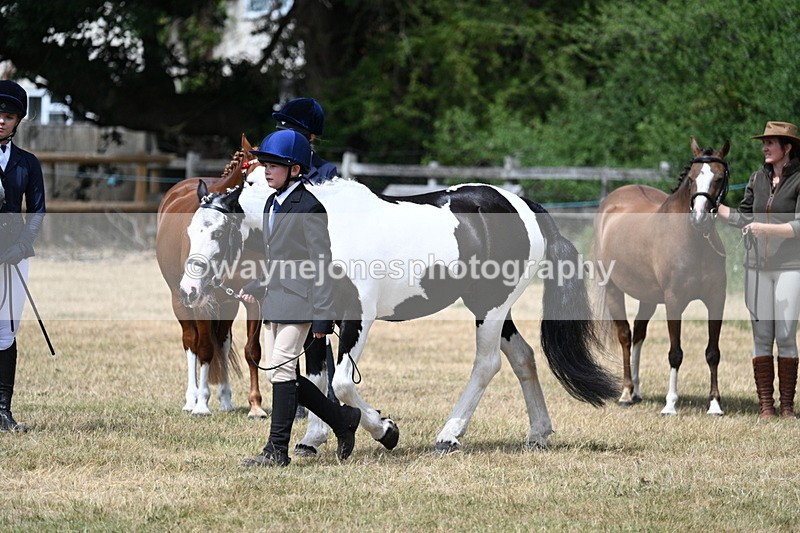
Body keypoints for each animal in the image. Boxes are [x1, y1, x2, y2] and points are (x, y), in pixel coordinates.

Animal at [155, 135, 267, 418]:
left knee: (223, 342)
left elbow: (252, 351)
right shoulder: (201, 301)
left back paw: (226, 400)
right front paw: (201, 405)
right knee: (191, 342)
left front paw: (256, 406)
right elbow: (204, 349)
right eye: (250, 181)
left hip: (227, 305)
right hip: (180, 301)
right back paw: (191, 399)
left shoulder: (253, 299)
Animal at [179, 172, 620, 453]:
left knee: (488, 363)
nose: (188, 290)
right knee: (523, 357)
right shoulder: (319, 320)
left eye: (218, 231)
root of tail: (524, 206)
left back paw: (449, 435)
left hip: (492, 308)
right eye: (190, 231)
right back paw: (538, 433)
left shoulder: (358, 317)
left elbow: (341, 383)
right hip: (491, 306)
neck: (325, 227)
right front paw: (313, 439)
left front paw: (384, 429)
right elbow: (317, 378)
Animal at [593, 137, 730, 416]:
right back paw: (626, 393)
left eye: (719, 178)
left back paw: (636, 391)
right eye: (692, 178)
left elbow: (713, 352)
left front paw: (714, 405)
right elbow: (675, 353)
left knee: (639, 332)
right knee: (625, 336)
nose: (699, 218)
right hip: (613, 289)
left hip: (647, 297)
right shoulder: (674, 301)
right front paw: (670, 404)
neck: (693, 242)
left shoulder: (716, 300)